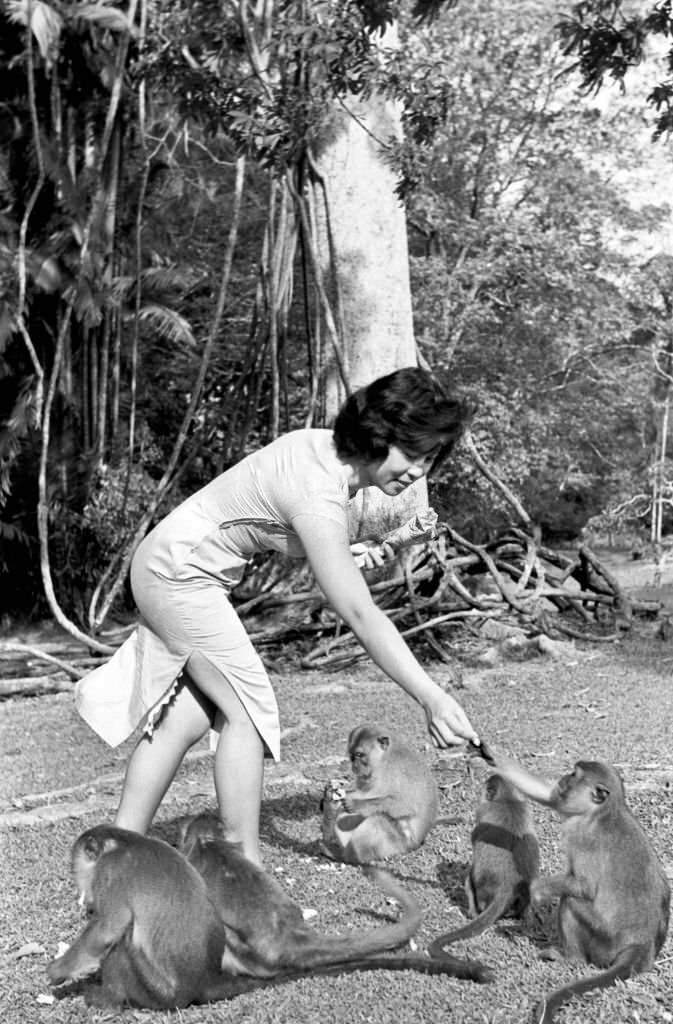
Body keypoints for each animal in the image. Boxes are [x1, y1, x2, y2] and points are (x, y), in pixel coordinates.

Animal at [319, 720, 440, 864]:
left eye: (359, 755)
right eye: (352, 756)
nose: (354, 767)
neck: (385, 759)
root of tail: (417, 844)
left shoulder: (398, 770)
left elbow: (406, 805)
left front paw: (355, 804)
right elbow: (363, 791)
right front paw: (331, 797)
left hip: (400, 843)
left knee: (378, 820)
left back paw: (347, 857)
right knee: (344, 817)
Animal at [469, 745, 667, 1024]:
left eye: (574, 774)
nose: (563, 777)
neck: (602, 811)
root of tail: (640, 944)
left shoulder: (584, 839)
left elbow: (584, 886)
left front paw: (537, 892)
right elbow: (549, 795)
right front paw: (485, 751)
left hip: (604, 938)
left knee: (571, 901)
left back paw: (571, 959)